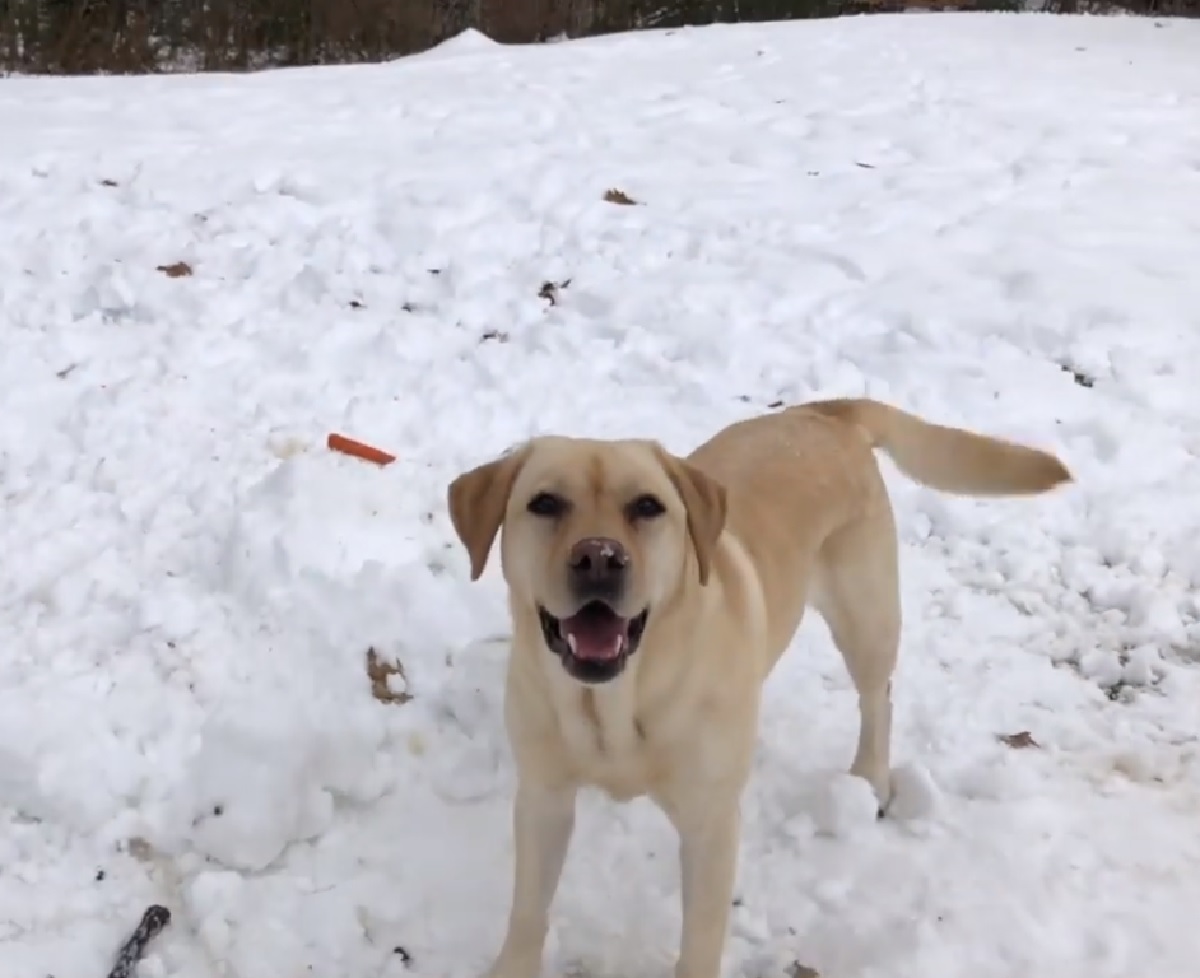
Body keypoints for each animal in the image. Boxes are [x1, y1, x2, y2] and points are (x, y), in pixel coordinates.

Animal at [448, 396, 1070, 978]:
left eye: (647, 506)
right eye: (545, 503)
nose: (599, 558)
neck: (616, 702)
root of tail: (826, 414)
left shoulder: (711, 825)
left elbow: (700, 938)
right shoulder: (543, 798)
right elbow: (529, 909)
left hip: (866, 619)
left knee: (878, 696)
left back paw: (869, 777)